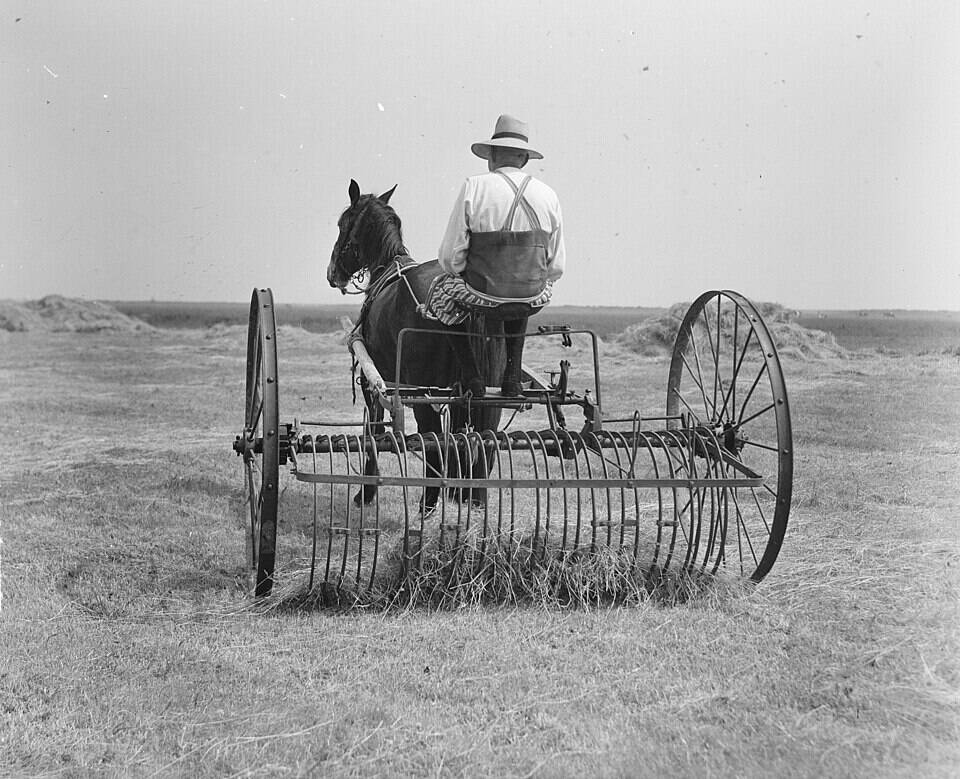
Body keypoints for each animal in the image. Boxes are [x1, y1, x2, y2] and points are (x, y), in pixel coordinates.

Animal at [326, 179, 507, 513]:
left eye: (342, 224)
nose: (333, 274)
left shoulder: (373, 382)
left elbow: (374, 432)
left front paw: (366, 492)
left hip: (426, 394)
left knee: (434, 439)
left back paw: (429, 502)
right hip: (489, 393)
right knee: (484, 439)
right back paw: (476, 499)